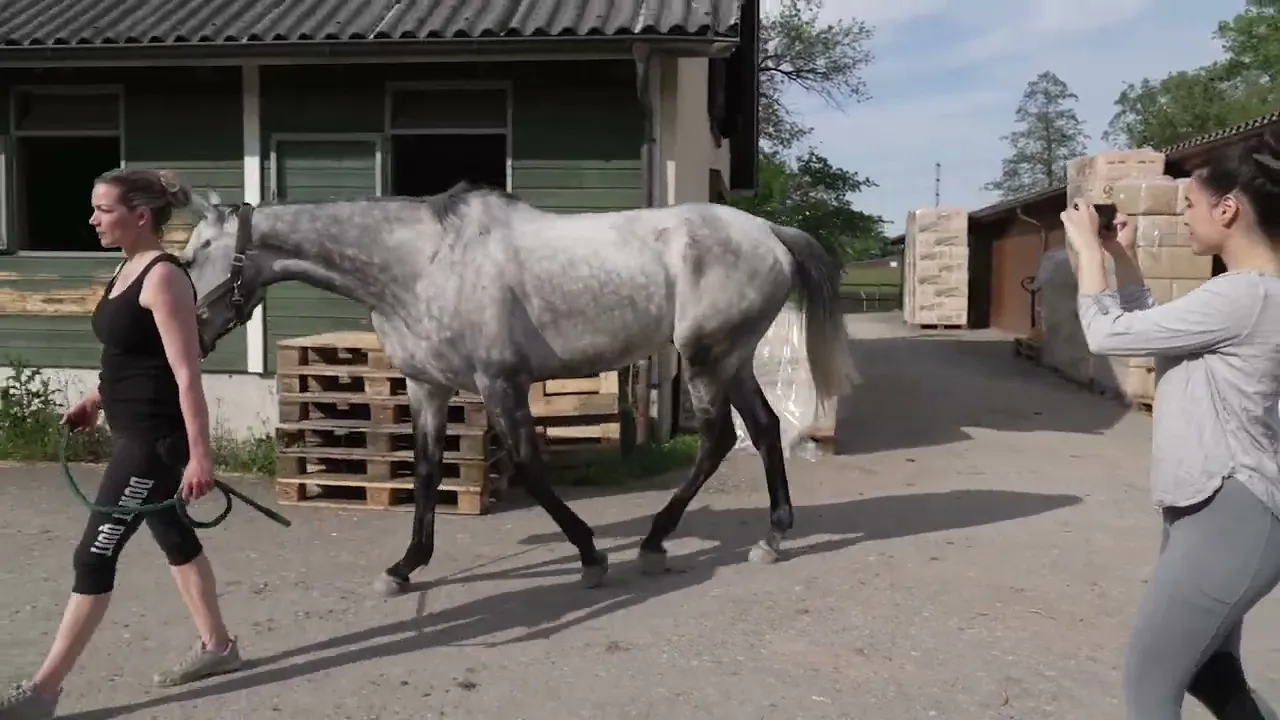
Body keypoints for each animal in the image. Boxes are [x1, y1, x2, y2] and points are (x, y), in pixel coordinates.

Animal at [180, 182, 858, 596]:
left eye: (192, 255)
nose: (191, 332)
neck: (421, 264)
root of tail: (769, 231)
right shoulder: (427, 387)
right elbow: (426, 472)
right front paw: (405, 568)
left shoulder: (499, 383)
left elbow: (531, 468)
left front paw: (591, 556)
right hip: (732, 360)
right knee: (764, 430)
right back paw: (773, 536)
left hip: (705, 358)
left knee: (716, 441)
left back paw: (654, 543)